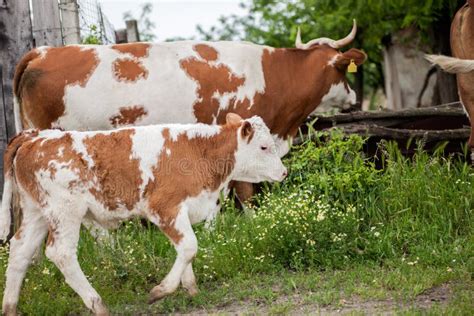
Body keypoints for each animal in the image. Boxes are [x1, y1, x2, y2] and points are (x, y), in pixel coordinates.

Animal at [0, 113, 286, 314]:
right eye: (263, 147)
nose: (283, 172)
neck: (197, 151)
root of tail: (33, 138)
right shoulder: (165, 207)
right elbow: (190, 246)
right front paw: (161, 291)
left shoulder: (182, 210)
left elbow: (185, 249)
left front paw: (191, 288)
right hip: (65, 212)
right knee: (61, 253)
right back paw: (97, 303)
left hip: (37, 211)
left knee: (20, 250)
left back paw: (10, 307)